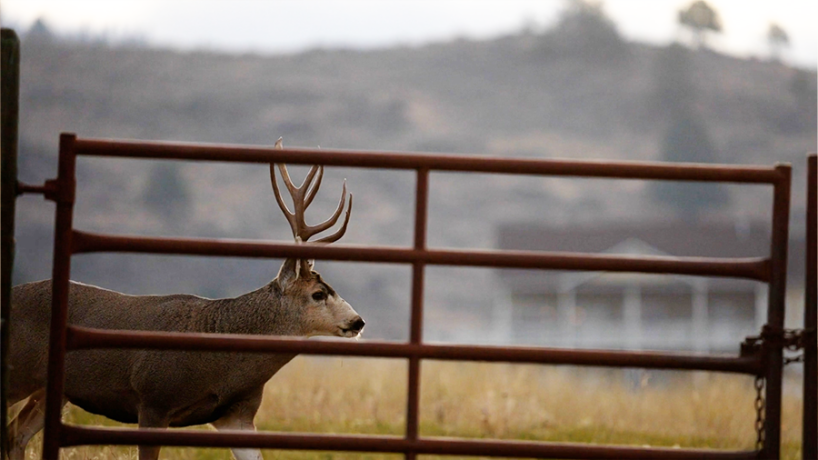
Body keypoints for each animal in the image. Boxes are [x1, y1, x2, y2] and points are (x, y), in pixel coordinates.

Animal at [6, 139, 365, 460]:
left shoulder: (237, 414)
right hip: (17, 370)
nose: (358, 321)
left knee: (15, 434)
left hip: (51, 390)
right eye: (318, 294)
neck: (220, 360)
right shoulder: (153, 400)